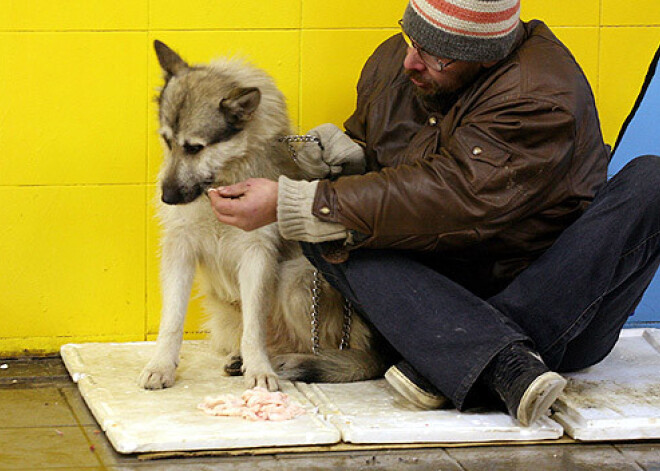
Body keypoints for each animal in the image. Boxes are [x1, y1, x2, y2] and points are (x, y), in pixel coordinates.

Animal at [138, 40, 386, 392]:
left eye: (195, 148)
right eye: (167, 141)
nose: (167, 198)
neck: (223, 180)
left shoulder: (257, 255)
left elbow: (254, 328)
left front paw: (259, 369)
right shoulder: (180, 249)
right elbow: (172, 320)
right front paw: (161, 365)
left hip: (295, 278)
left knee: (319, 348)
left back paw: (294, 362)